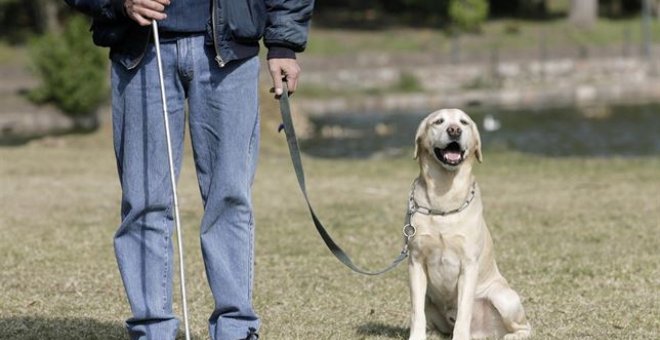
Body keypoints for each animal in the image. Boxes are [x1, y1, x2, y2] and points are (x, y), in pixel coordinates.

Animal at [408, 109, 532, 340]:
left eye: (463, 122)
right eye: (438, 121)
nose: (454, 130)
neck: (444, 198)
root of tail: (483, 332)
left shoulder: (468, 265)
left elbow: (464, 310)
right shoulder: (416, 262)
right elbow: (416, 311)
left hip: (505, 298)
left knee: (525, 326)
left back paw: (511, 335)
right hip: (431, 300)